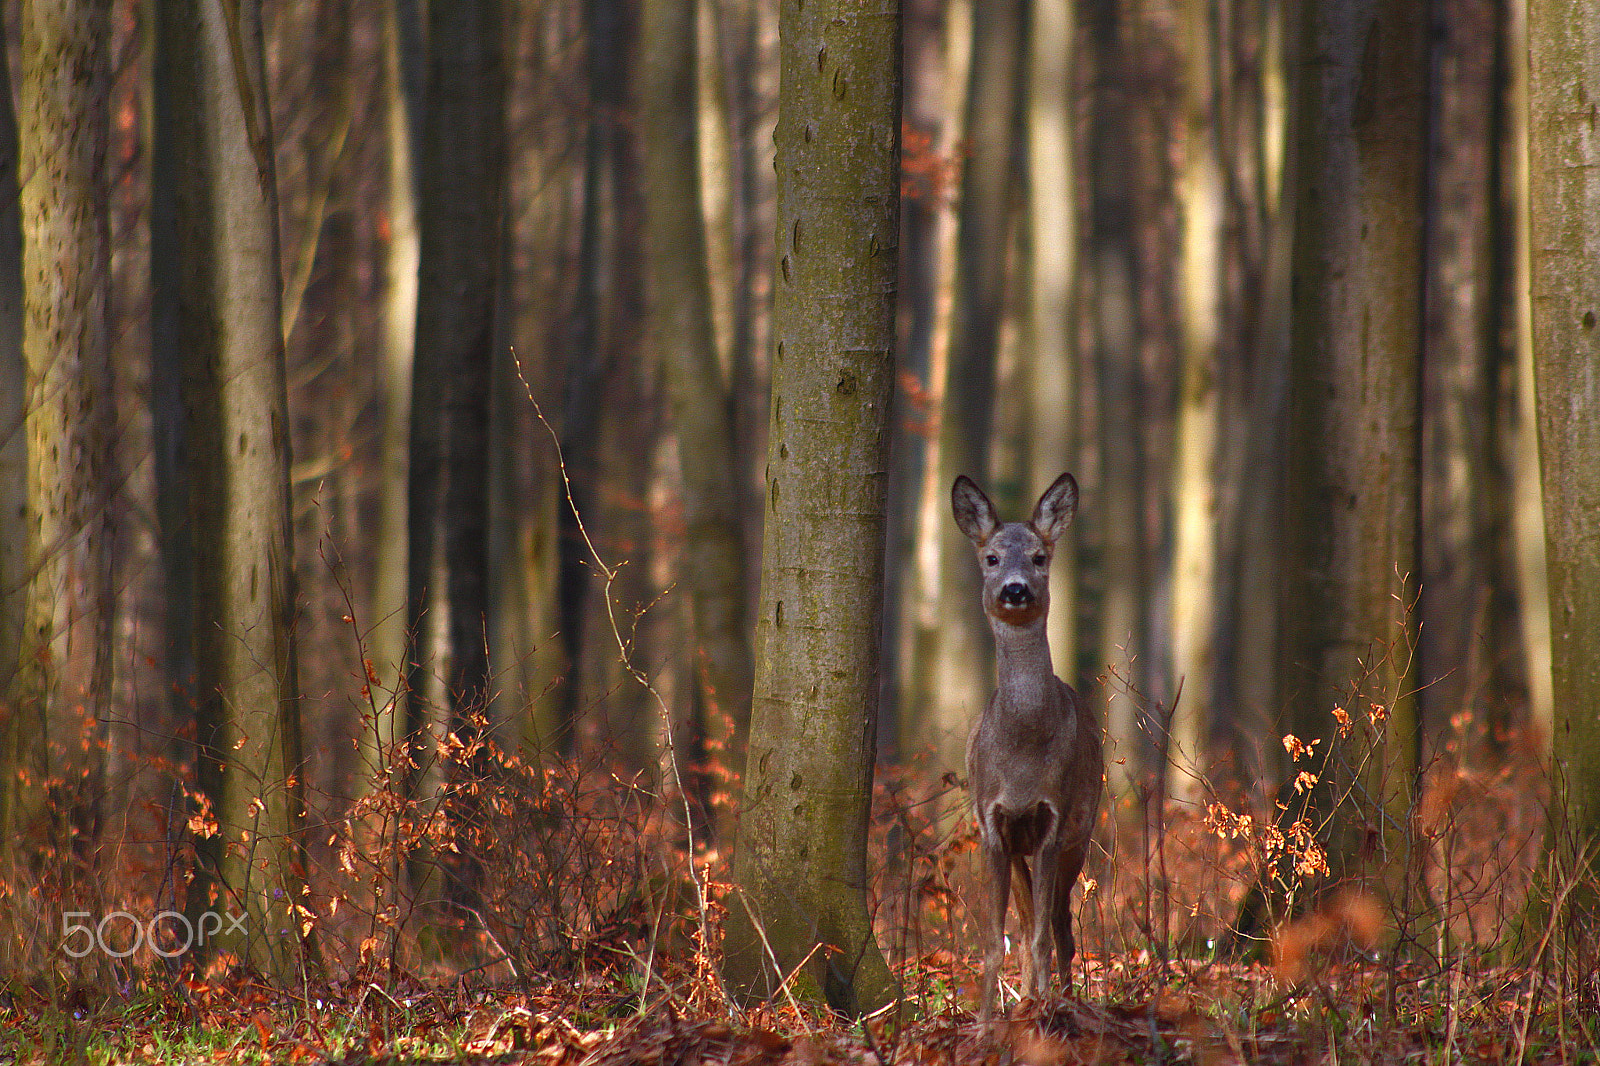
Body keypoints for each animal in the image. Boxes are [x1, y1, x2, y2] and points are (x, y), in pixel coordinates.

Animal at [947, 473, 1100, 1024]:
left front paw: (1043, 1015)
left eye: (1039, 556)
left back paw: (1066, 999)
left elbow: (1040, 937)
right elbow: (998, 939)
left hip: (1082, 831)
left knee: (1059, 924)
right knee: (1031, 913)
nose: (1015, 589)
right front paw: (985, 1022)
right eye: (991, 557)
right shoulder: (993, 823)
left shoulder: (1054, 819)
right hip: (1018, 848)